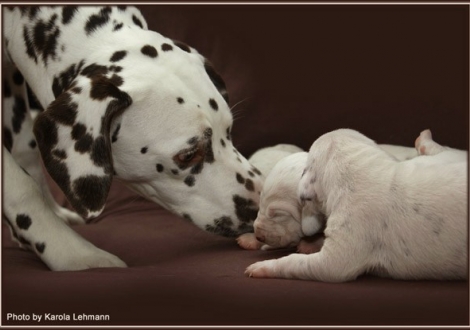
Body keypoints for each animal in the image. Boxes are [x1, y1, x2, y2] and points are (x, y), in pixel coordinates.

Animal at [1, 5, 262, 270]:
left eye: (229, 131)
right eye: (188, 155)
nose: (261, 206)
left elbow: (26, 148)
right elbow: (21, 186)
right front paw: (73, 252)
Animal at [246, 128, 466, 282]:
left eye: (278, 214)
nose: (258, 235)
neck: (357, 170)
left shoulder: (334, 260)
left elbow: (295, 262)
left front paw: (263, 266)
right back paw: (424, 140)